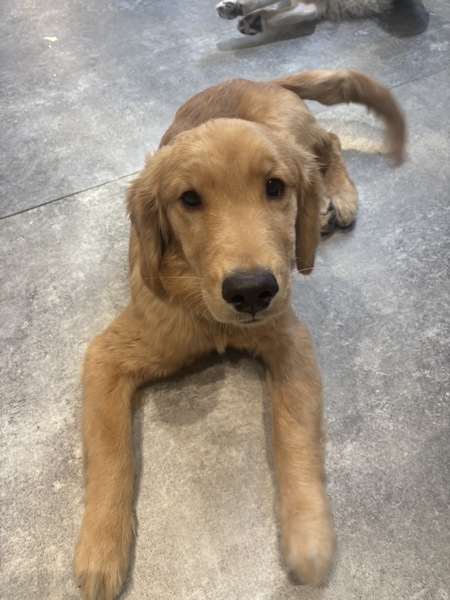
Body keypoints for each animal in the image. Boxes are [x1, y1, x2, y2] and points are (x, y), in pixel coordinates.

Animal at [74, 69, 405, 600]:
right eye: (189, 199)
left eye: (274, 187)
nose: (251, 291)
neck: (208, 315)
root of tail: (257, 77)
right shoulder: (107, 355)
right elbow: (110, 453)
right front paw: (101, 550)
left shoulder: (290, 341)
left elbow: (295, 436)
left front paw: (309, 537)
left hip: (296, 128)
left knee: (329, 143)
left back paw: (338, 196)